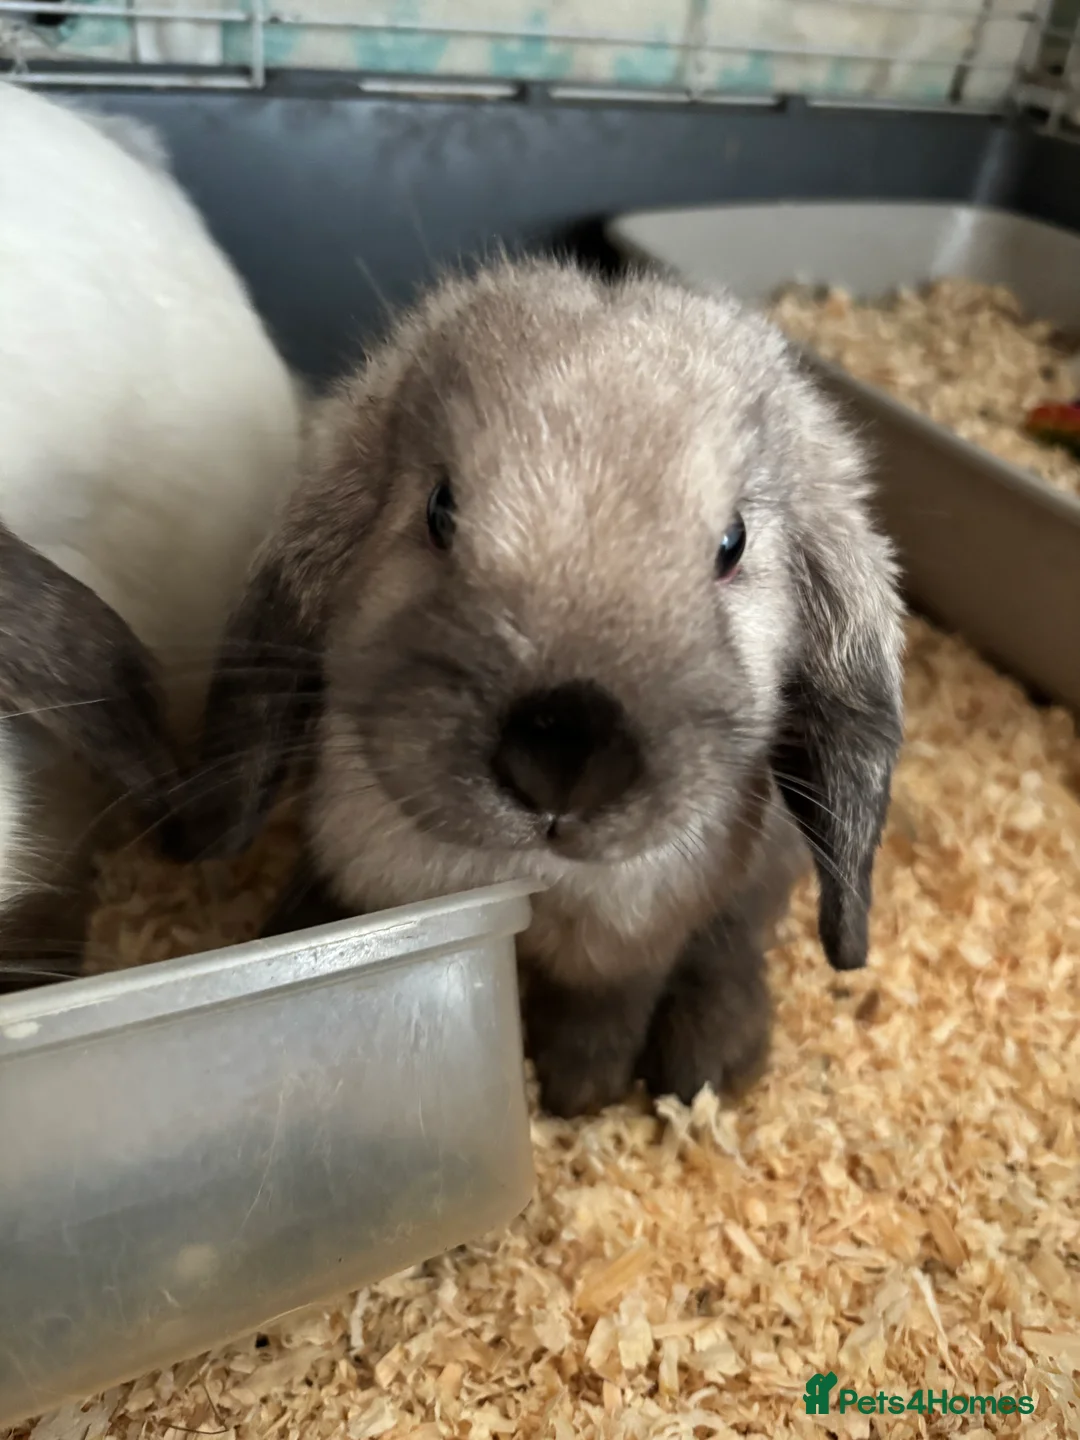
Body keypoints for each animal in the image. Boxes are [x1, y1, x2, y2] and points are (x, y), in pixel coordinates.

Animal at [165, 255, 905, 1118]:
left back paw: (710, 1059)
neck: (534, 882)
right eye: (440, 509)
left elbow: (607, 1006)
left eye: (733, 543)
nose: (563, 751)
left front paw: (580, 1093)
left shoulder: (636, 936)